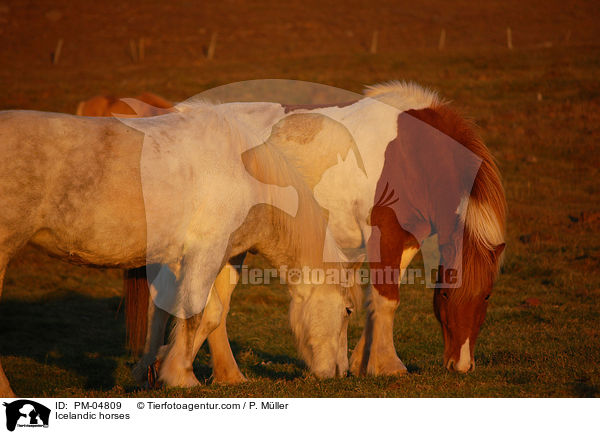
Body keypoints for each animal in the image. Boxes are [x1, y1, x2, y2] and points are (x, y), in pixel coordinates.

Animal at [0, 102, 360, 396]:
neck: (244, 172)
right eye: (347, 311)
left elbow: (190, 313)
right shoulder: (205, 254)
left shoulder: (193, 258)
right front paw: (180, 376)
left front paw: (154, 368)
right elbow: (195, 312)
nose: (341, 373)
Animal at [130, 80, 506, 384]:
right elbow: (386, 299)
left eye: (487, 295)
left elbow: (378, 300)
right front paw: (389, 366)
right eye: (446, 296)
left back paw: (225, 375)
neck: (412, 153)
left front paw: (361, 362)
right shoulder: (383, 232)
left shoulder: (407, 238)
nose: (461, 365)